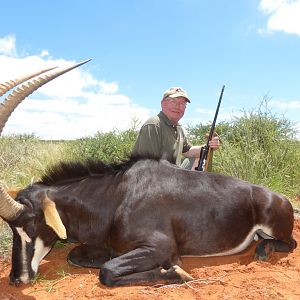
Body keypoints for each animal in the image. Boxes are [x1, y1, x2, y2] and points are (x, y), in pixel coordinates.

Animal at [0, 62, 296, 286]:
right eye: (12, 229)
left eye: (31, 225)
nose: (17, 278)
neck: (116, 196)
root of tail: (279, 198)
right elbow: (79, 256)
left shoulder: (160, 247)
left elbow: (108, 271)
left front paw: (176, 272)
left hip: (275, 228)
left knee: (289, 243)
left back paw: (263, 250)